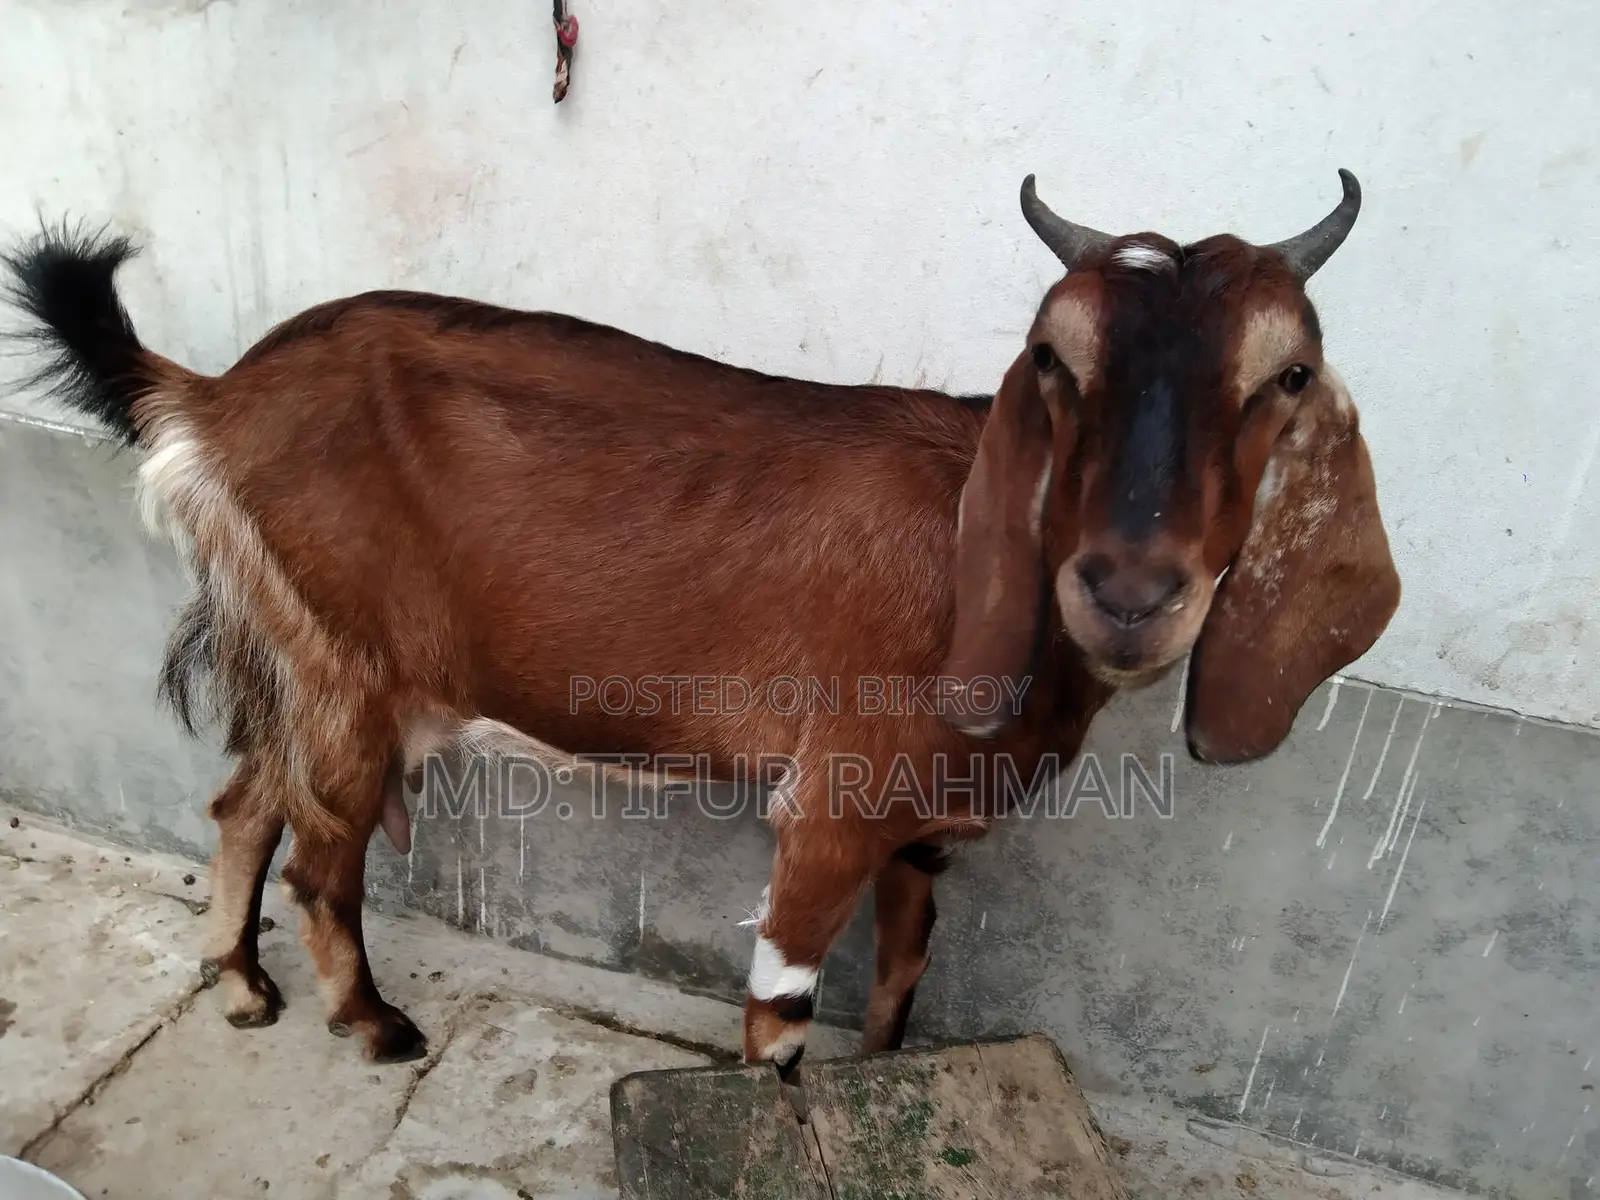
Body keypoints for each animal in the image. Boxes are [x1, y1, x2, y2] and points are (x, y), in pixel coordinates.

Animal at [2, 170, 1398, 1071]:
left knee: (242, 802)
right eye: (1053, 360)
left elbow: (899, 986)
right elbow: (778, 1022)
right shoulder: (828, 811)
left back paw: (242, 990)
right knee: (320, 859)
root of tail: (213, 397)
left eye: (1287, 374)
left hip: (297, 658)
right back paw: (377, 1026)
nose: (1127, 589)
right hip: (346, 671)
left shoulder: (917, 834)